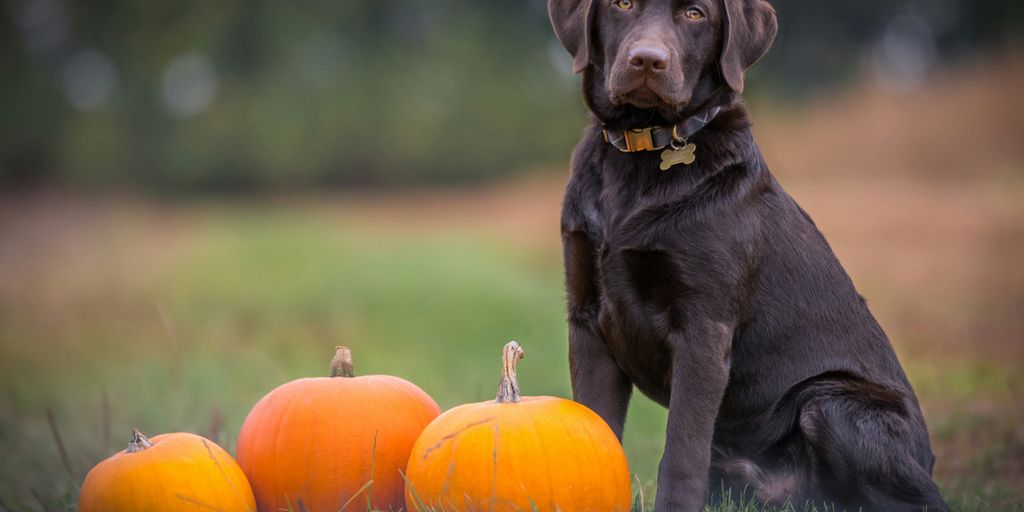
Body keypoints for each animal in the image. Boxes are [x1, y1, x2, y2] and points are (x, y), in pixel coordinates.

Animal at [548, 1, 946, 512]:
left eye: (696, 14)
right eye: (621, 5)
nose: (648, 61)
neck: (641, 154)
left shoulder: (704, 328)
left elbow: (681, 450)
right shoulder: (587, 319)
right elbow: (596, 427)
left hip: (829, 402)